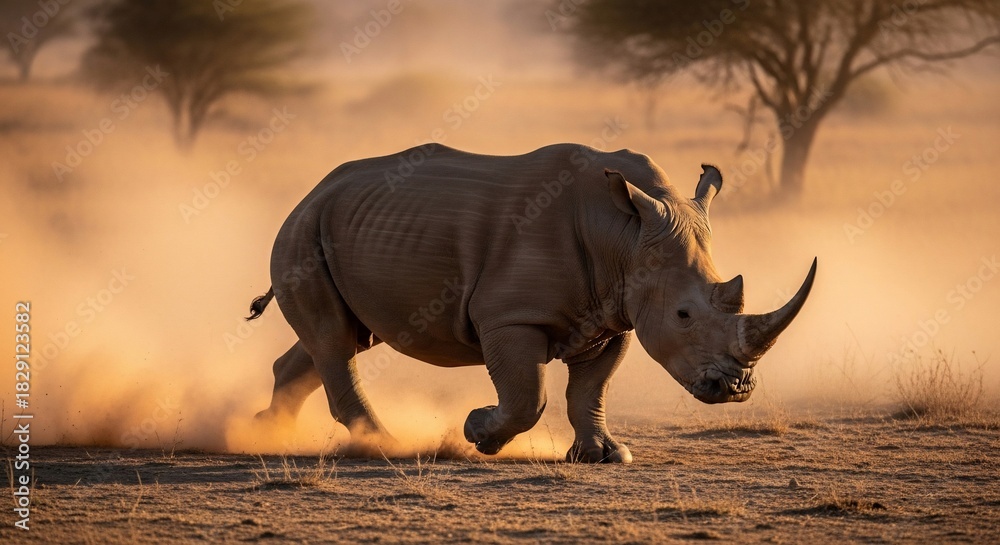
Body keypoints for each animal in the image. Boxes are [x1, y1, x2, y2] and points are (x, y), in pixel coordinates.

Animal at [248, 143, 816, 463]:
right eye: (683, 315)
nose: (735, 389)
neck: (625, 236)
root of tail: (312, 191)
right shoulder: (510, 317)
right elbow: (528, 396)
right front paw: (478, 432)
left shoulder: (615, 316)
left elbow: (589, 391)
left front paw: (604, 456)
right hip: (303, 230)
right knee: (334, 340)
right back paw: (383, 446)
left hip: (343, 229)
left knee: (340, 339)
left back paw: (265, 431)